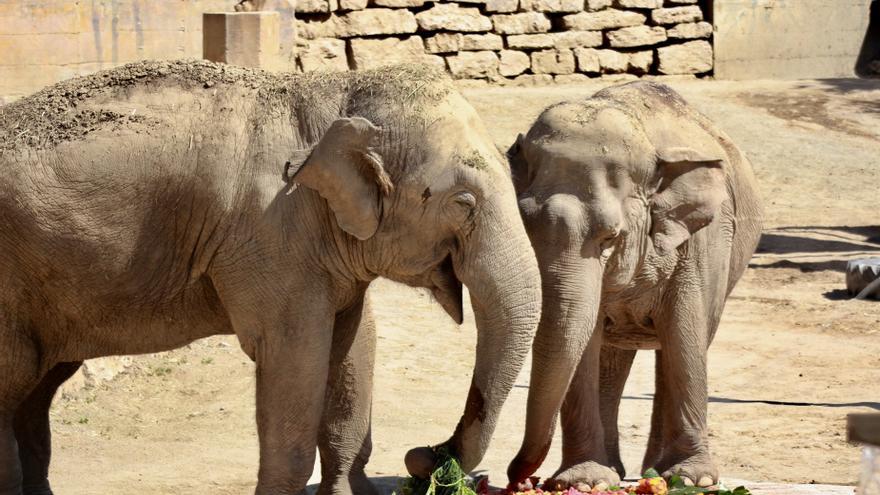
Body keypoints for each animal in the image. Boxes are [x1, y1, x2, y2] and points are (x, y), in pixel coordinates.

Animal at [0, 60, 541, 495]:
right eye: (463, 203)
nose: (427, 454)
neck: (334, 92)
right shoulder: (271, 233)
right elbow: (293, 356)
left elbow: (354, 344)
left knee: (36, 392)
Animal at [505, 81, 762, 490]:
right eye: (523, 227)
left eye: (610, 237)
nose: (521, 479)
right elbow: (584, 343)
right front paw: (584, 481)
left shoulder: (701, 242)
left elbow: (686, 334)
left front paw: (693, 479)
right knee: (613, 357)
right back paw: (620, 469)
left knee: (679, 344)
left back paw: (656, 470)